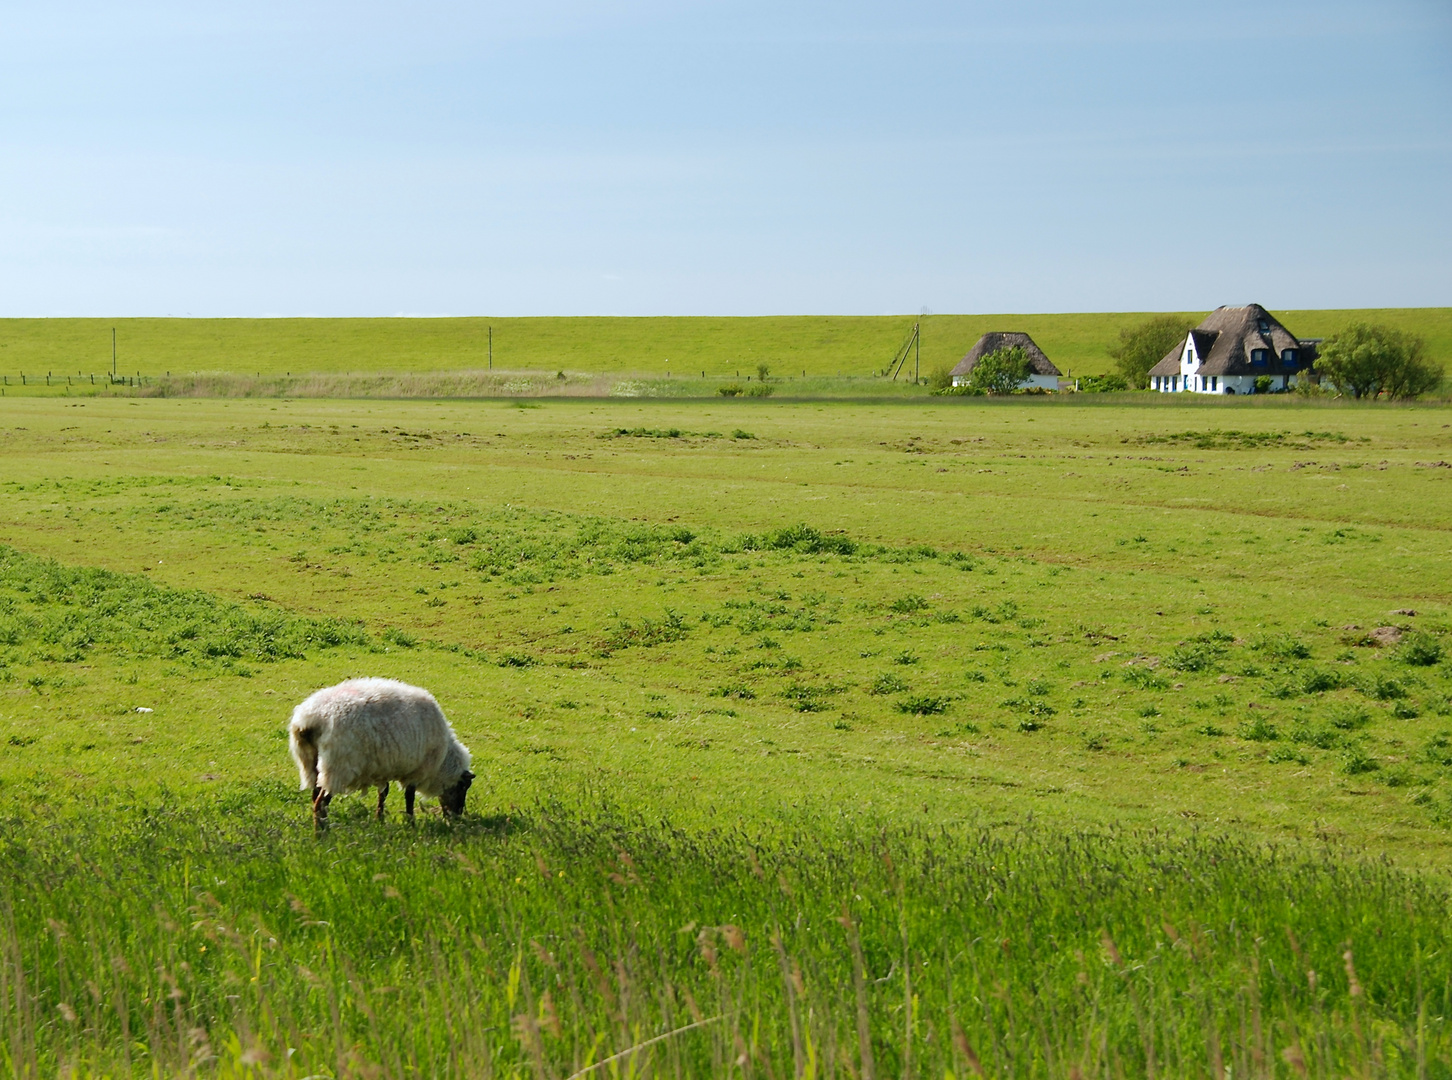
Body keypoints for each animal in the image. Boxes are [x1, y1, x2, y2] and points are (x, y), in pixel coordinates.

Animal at [288, 679, 476, 830]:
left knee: (315, 798)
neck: (442, 762)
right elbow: (409, 797)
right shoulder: (416, 771)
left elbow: (383, 793)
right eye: (463, 787)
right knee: (320, 803)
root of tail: (311, 718)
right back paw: (322, 834)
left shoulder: (384, 767)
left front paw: (380, 819)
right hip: (338, 768)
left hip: (310, 763)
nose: (457, 816)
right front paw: (411, 823)